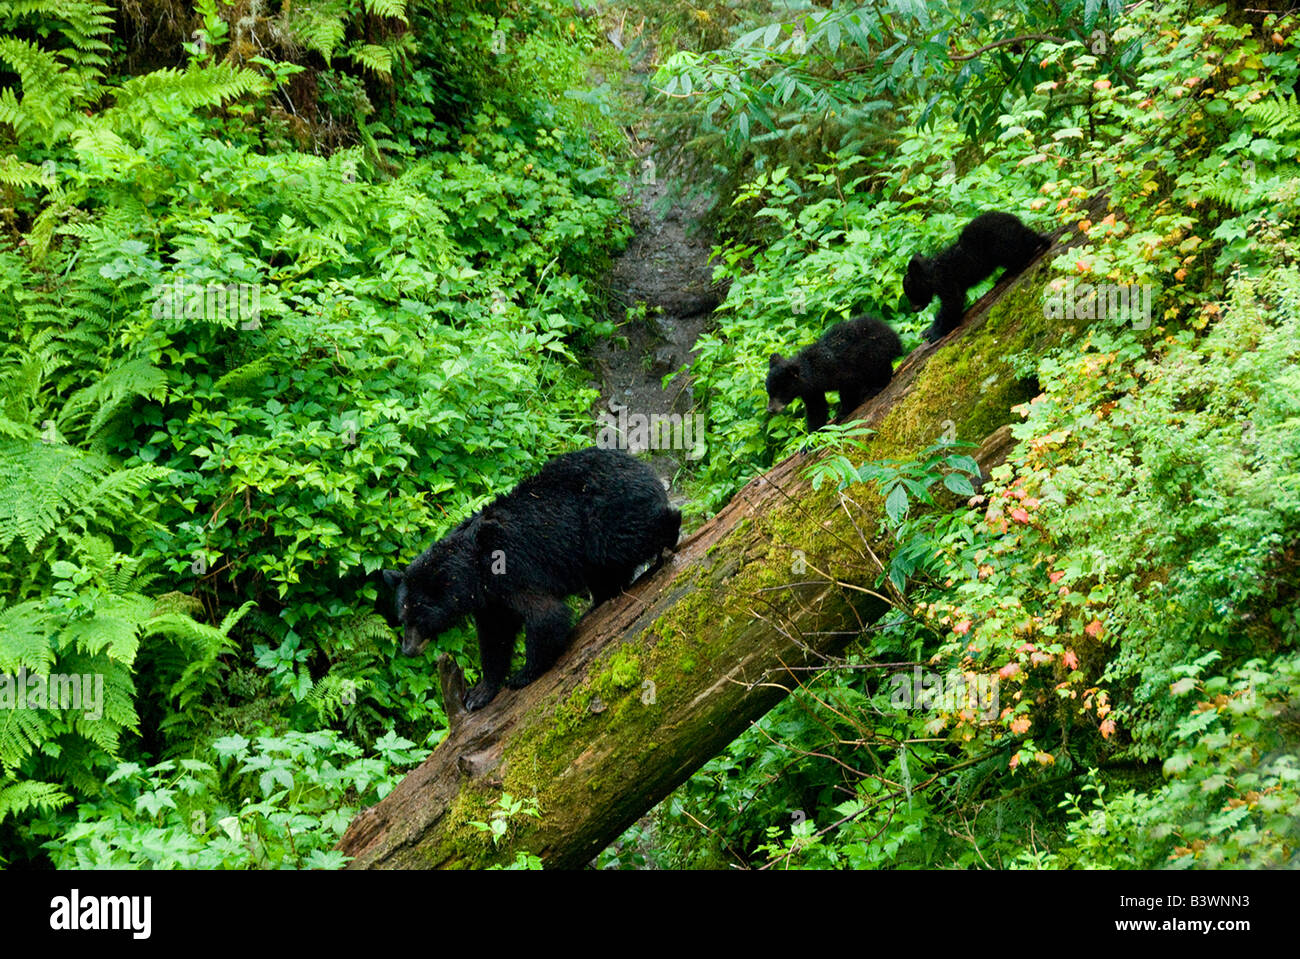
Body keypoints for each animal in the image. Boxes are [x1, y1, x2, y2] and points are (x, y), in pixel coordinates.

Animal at [382, 444, 681, 706]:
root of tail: (643, 467)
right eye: (402, 618)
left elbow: (545, 615)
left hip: (604, 516)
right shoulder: (491, 599)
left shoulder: (512, 570)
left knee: (625, 539)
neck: (474, 571)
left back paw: (669, 533)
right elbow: (495, 636)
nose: (408, 649)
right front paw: (480, 693)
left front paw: (522, 675)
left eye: (419, 618)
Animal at [764, 311, 899, 431]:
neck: (813, 373)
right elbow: (816, 408)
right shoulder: (811, 390)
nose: (770, 409)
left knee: (880, 369)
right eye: (769, 391)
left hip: (872, 352)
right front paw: (813, 436)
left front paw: (843, 412)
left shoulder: (840, 371)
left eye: (780, 391)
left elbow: (849, 388)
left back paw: (875, 388)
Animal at [904, 210, 1055, 340]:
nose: (914, 309)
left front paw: (936, 333)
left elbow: (951, 303)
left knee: (1021, 246)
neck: (930, 275)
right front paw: (927, 331)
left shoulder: (944, 280)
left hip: (1001, 244)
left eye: (911, 293)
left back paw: (1042, 239)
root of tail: (1014, 218)